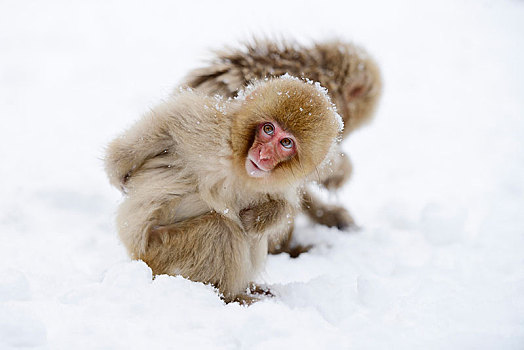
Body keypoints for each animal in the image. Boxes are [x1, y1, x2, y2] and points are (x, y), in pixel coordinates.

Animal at [106, 77, 344, 304]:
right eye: (268, 129)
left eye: (286, 142)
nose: (264, 155)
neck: (239, 167)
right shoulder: (210, 129)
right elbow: (165, 122)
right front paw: (118, 171)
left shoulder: (281, 182)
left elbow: (282, 204)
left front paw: (259, 218)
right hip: (157, 253)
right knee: (223, 230)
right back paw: (231, 297)